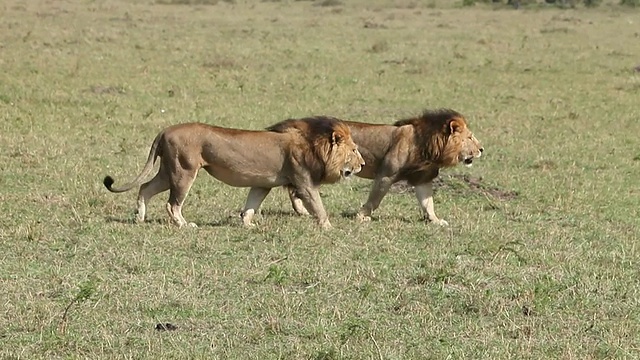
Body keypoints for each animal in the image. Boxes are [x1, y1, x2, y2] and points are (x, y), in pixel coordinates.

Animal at [104, 116, 364, 229]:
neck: (313, 144)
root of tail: (164, 130)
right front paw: (329, 227)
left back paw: (139, 218)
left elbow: (251, 205)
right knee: (172, 204)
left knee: (145, 188)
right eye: (354, 150)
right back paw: (184, 225)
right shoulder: (304, 182)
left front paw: (248, 224)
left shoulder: (263, 183)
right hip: (183, 171)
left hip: (168, 172)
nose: (361, 165)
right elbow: (318, 206)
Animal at [278, 108, 482, 225]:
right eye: (470, 137)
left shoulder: (422, 178)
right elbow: (375, 199)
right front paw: (362, 217)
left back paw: (302, 211)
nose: (482, 149)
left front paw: (435, 220)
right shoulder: (386, 174)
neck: (428, 145)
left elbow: (427, 203)